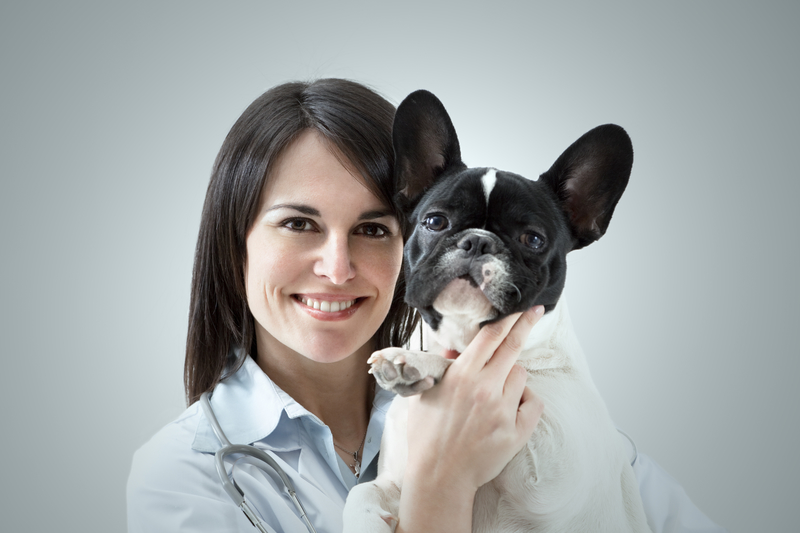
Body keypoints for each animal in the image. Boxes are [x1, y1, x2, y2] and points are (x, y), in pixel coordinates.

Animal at [342, 91, 648, 532]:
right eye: (435, 221)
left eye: (533, 239)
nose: (477, 241)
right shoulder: (401, 481)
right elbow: (362, 491)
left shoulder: (549, 471)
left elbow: (461, 366)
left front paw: (411, 360)